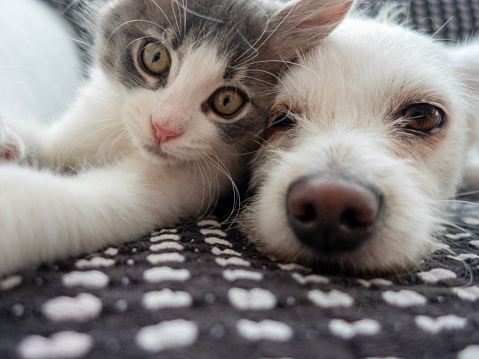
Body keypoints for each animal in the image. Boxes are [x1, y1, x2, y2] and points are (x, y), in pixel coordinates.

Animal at [0, 0, 352, 276]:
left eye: (227, 101)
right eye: (155, 57)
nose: (163, 128)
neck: (126, 144)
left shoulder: (169, 190)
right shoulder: (83, 127)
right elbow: (44, 144)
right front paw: (8, 141)